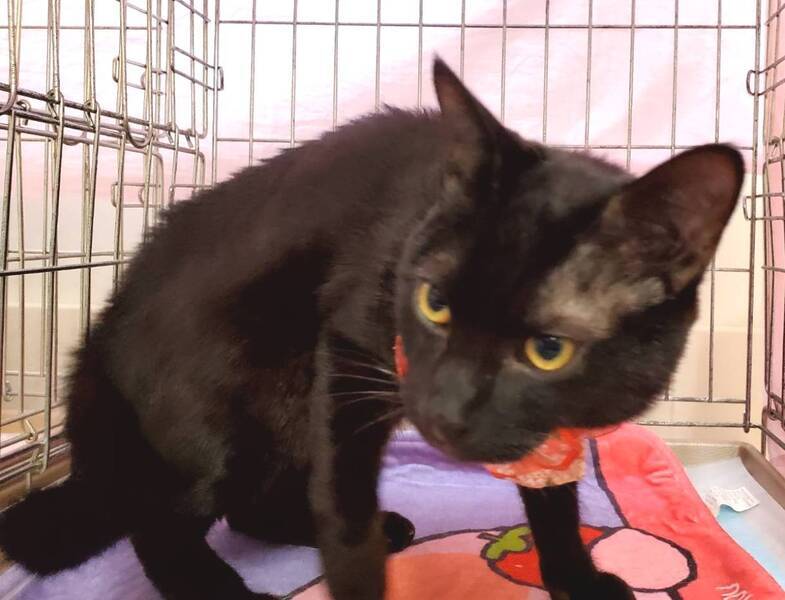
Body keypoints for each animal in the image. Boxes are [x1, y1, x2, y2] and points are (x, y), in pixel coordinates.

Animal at [0, 58, 742, 600]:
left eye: (548, 350)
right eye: (434, 303)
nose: (442, 412)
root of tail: (102, 335)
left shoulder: (548, 432)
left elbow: (555, 504)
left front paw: (575, 582)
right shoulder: (349, 356)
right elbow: (344, 510)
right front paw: (359, 574)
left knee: (248, 506)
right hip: (245, 393)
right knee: (159, 520)